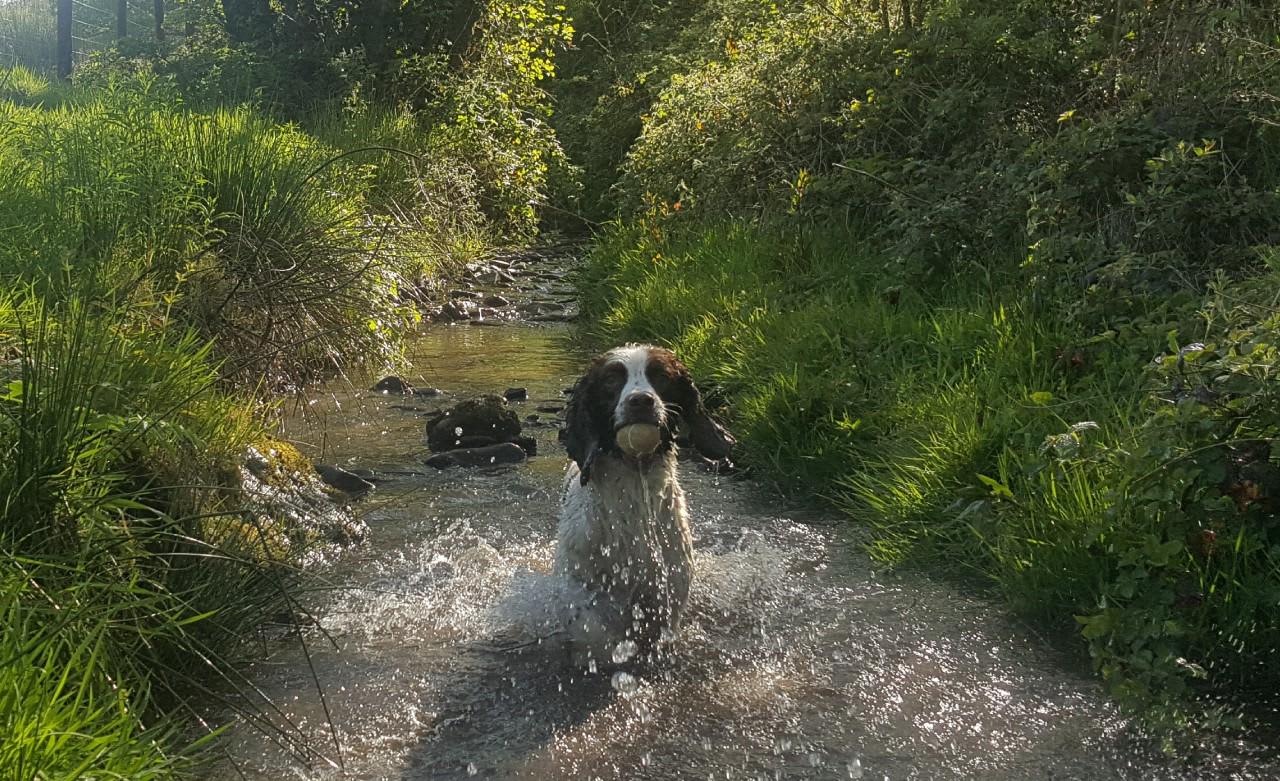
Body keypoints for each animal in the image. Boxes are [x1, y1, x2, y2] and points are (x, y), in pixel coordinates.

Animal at [555, 343, 737, 660]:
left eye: (661, 376)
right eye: (611, 380)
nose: (640, 401)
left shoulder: (668, 587)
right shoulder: (577, 583)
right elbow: (592, 628)